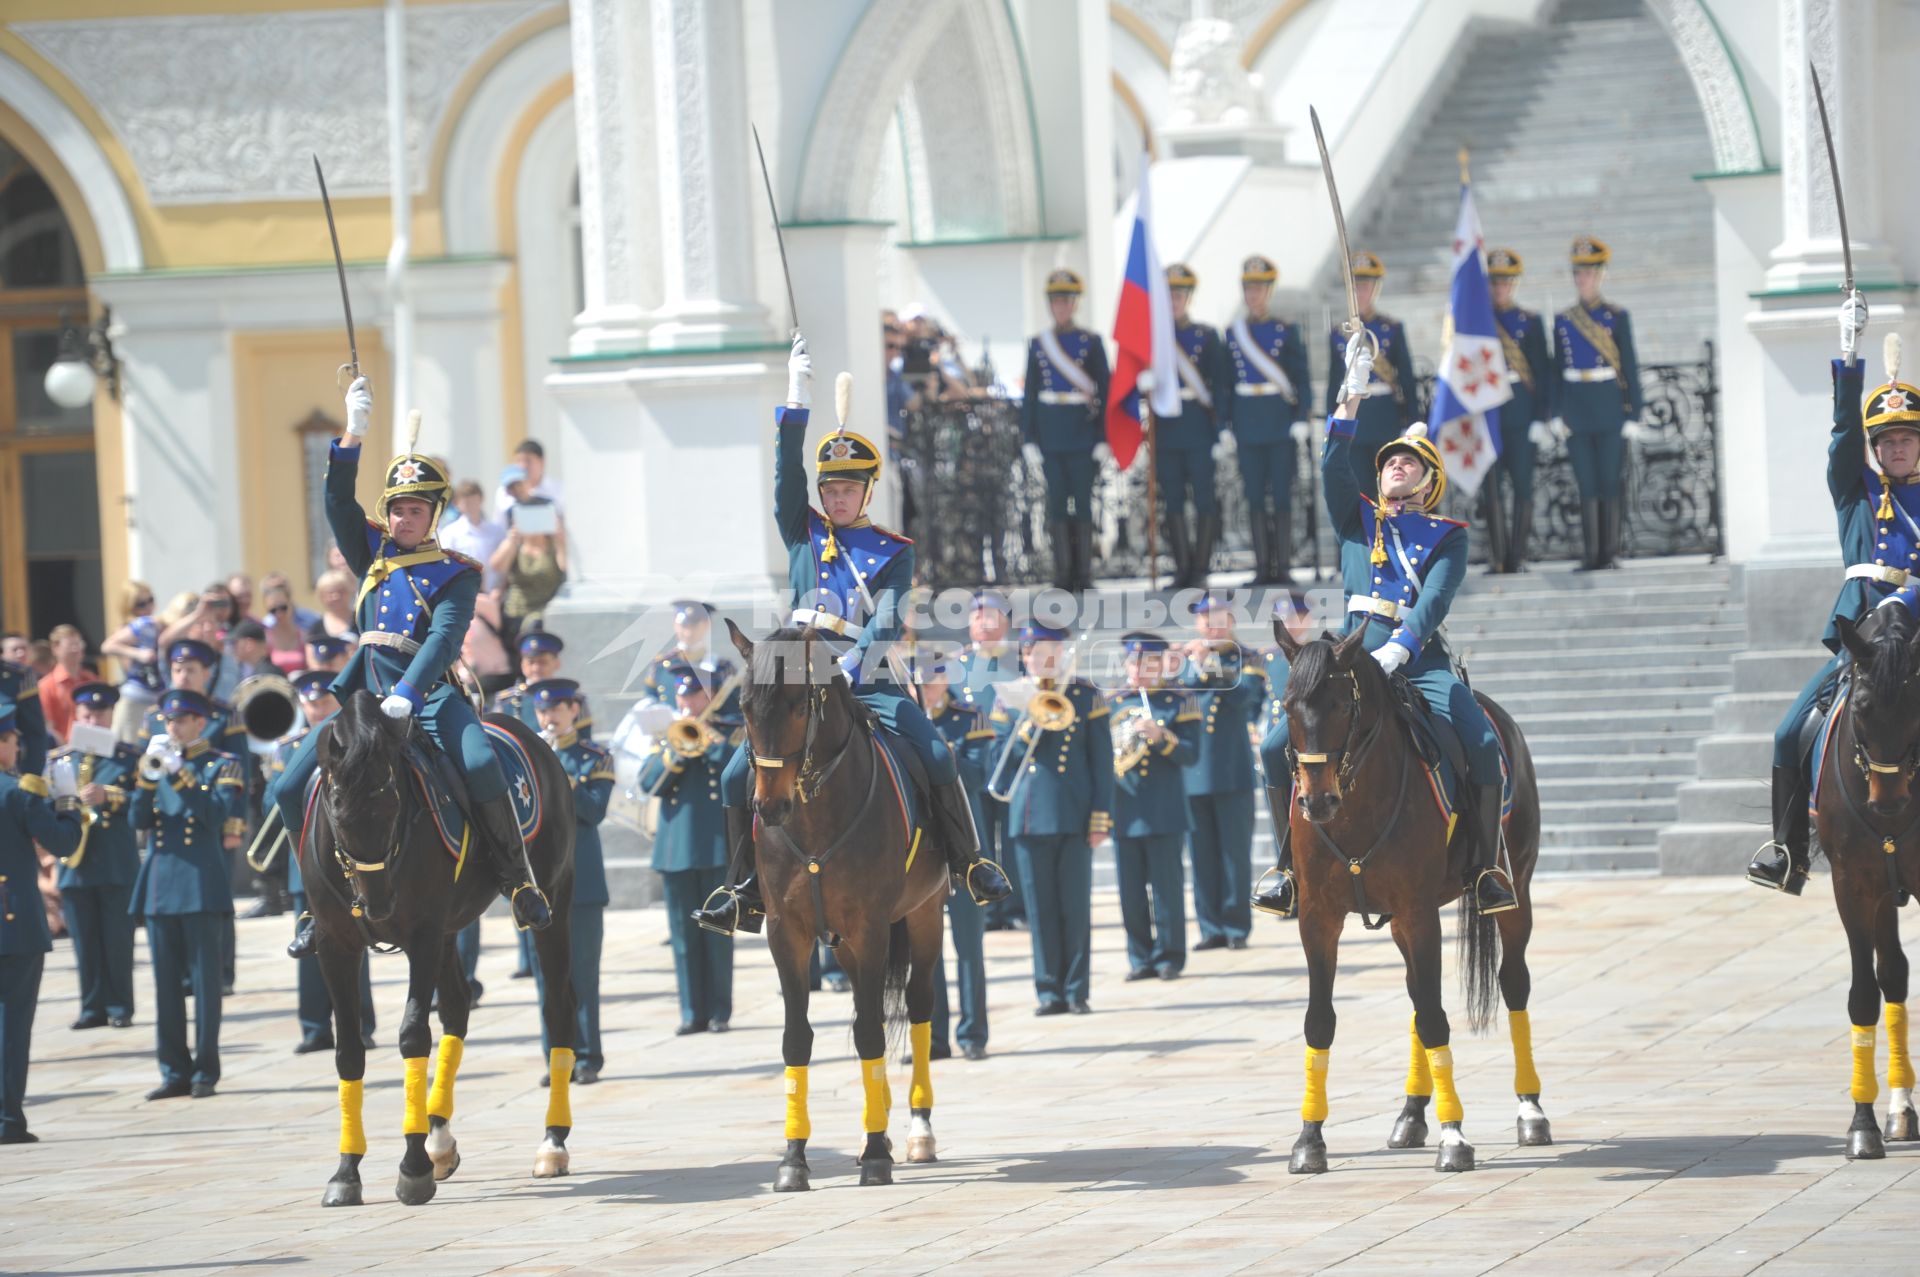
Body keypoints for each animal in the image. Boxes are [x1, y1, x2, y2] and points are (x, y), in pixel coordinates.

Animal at [299, 687, 576, 1205]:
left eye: (393, 804)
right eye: (337, 808)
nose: (378, 906)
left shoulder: (423, 936)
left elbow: (412, 1035)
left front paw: (412, 1169)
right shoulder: (335, 945)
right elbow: (348, 1051)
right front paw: (347, 1171)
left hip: (555, 895)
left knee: (558, 1007)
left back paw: (552, 1142)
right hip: (451, 931)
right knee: (457, 1007)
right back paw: (440, 1139)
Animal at [721, 622, 948, 1190]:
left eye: (800, 704)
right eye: (744, 707)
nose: (768, 807)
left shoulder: (871, 927)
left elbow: (869, 1032)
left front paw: (875, 1154)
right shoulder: (788, 932)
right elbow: (797, 1038)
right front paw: (793, 1158)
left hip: (924, 914)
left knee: (918, 1005)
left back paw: (916, 1130)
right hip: (843, 943)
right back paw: (880, 1119)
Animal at [1267, 618, 1551, 1175]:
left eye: (1341, 705)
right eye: (1287, 707)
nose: (1316, 801)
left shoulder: (1420, 914)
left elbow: (1437, 1018)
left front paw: (1455, 1137)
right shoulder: (1319, 919)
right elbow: (1321, 1021)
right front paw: (1310, 1138)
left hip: (1516, 892)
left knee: (1512, 983)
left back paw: (1529, 1108)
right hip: (1399, 922)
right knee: (1419, 996)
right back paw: (1413, 1114)